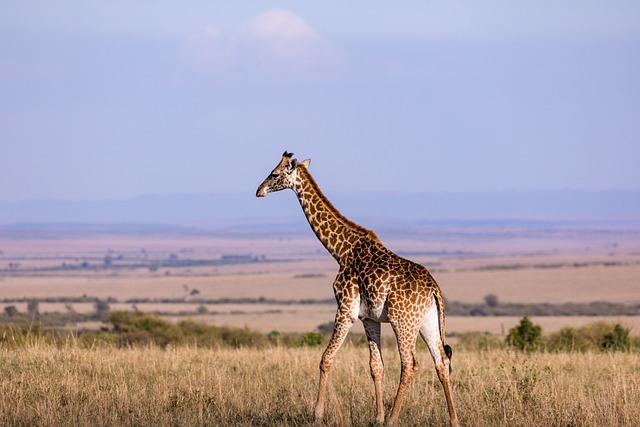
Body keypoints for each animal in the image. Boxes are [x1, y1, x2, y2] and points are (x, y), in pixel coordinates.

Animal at [255, 152, 460, 426]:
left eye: (274, 173)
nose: (259, 191)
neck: (341, 250)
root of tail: (434, 289)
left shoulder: (345, 309)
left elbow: (325, 358)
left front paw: (317, 413)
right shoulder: (368, 318)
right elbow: (376, 366)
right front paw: (377, 417)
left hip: (403, 321)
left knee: (410, 363)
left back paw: (394, 419)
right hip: (427, 321)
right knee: (441, 361)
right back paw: (453, 420)